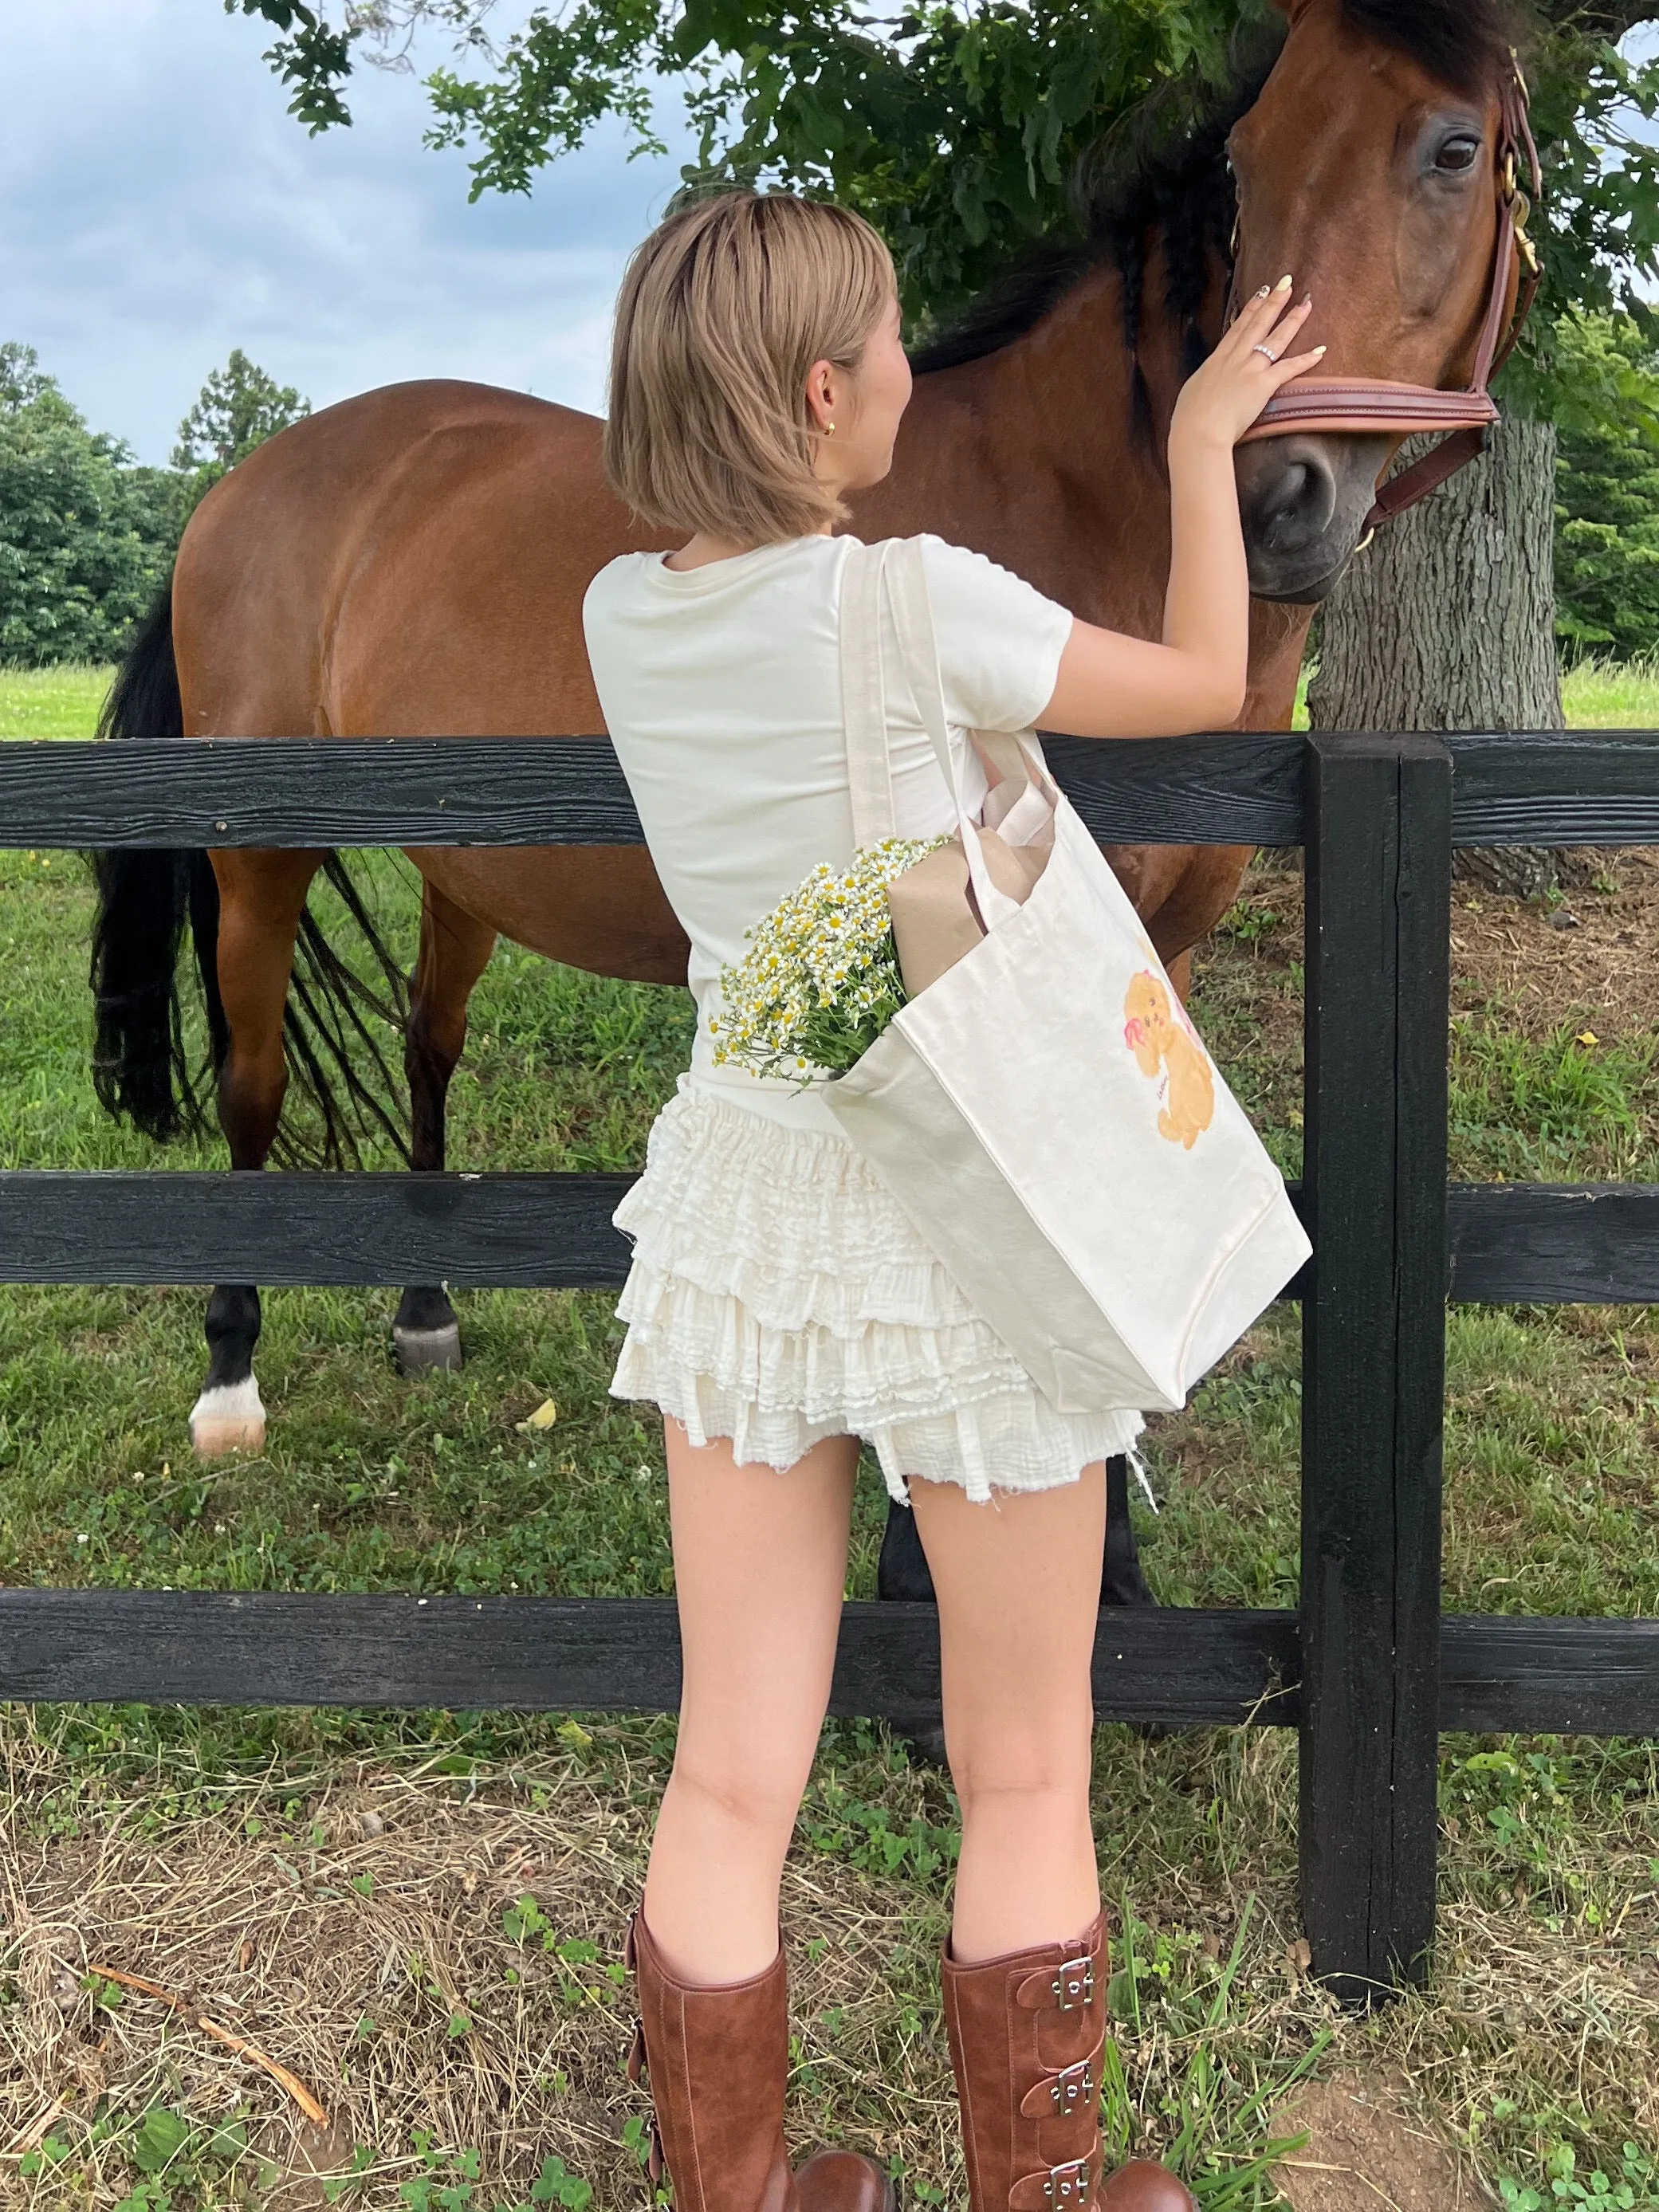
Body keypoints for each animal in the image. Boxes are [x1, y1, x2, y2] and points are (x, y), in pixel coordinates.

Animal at [90, 0, 1531, 1486]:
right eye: (1242, 177)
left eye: (1451, 149)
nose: (1271, 504)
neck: (1092, 511)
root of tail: (246, 483)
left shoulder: (1152, 952)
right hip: (259, 863)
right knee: (253, 1087)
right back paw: (230, 1375)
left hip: (458, 868)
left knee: (428, 1043)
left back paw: (425, 1311)